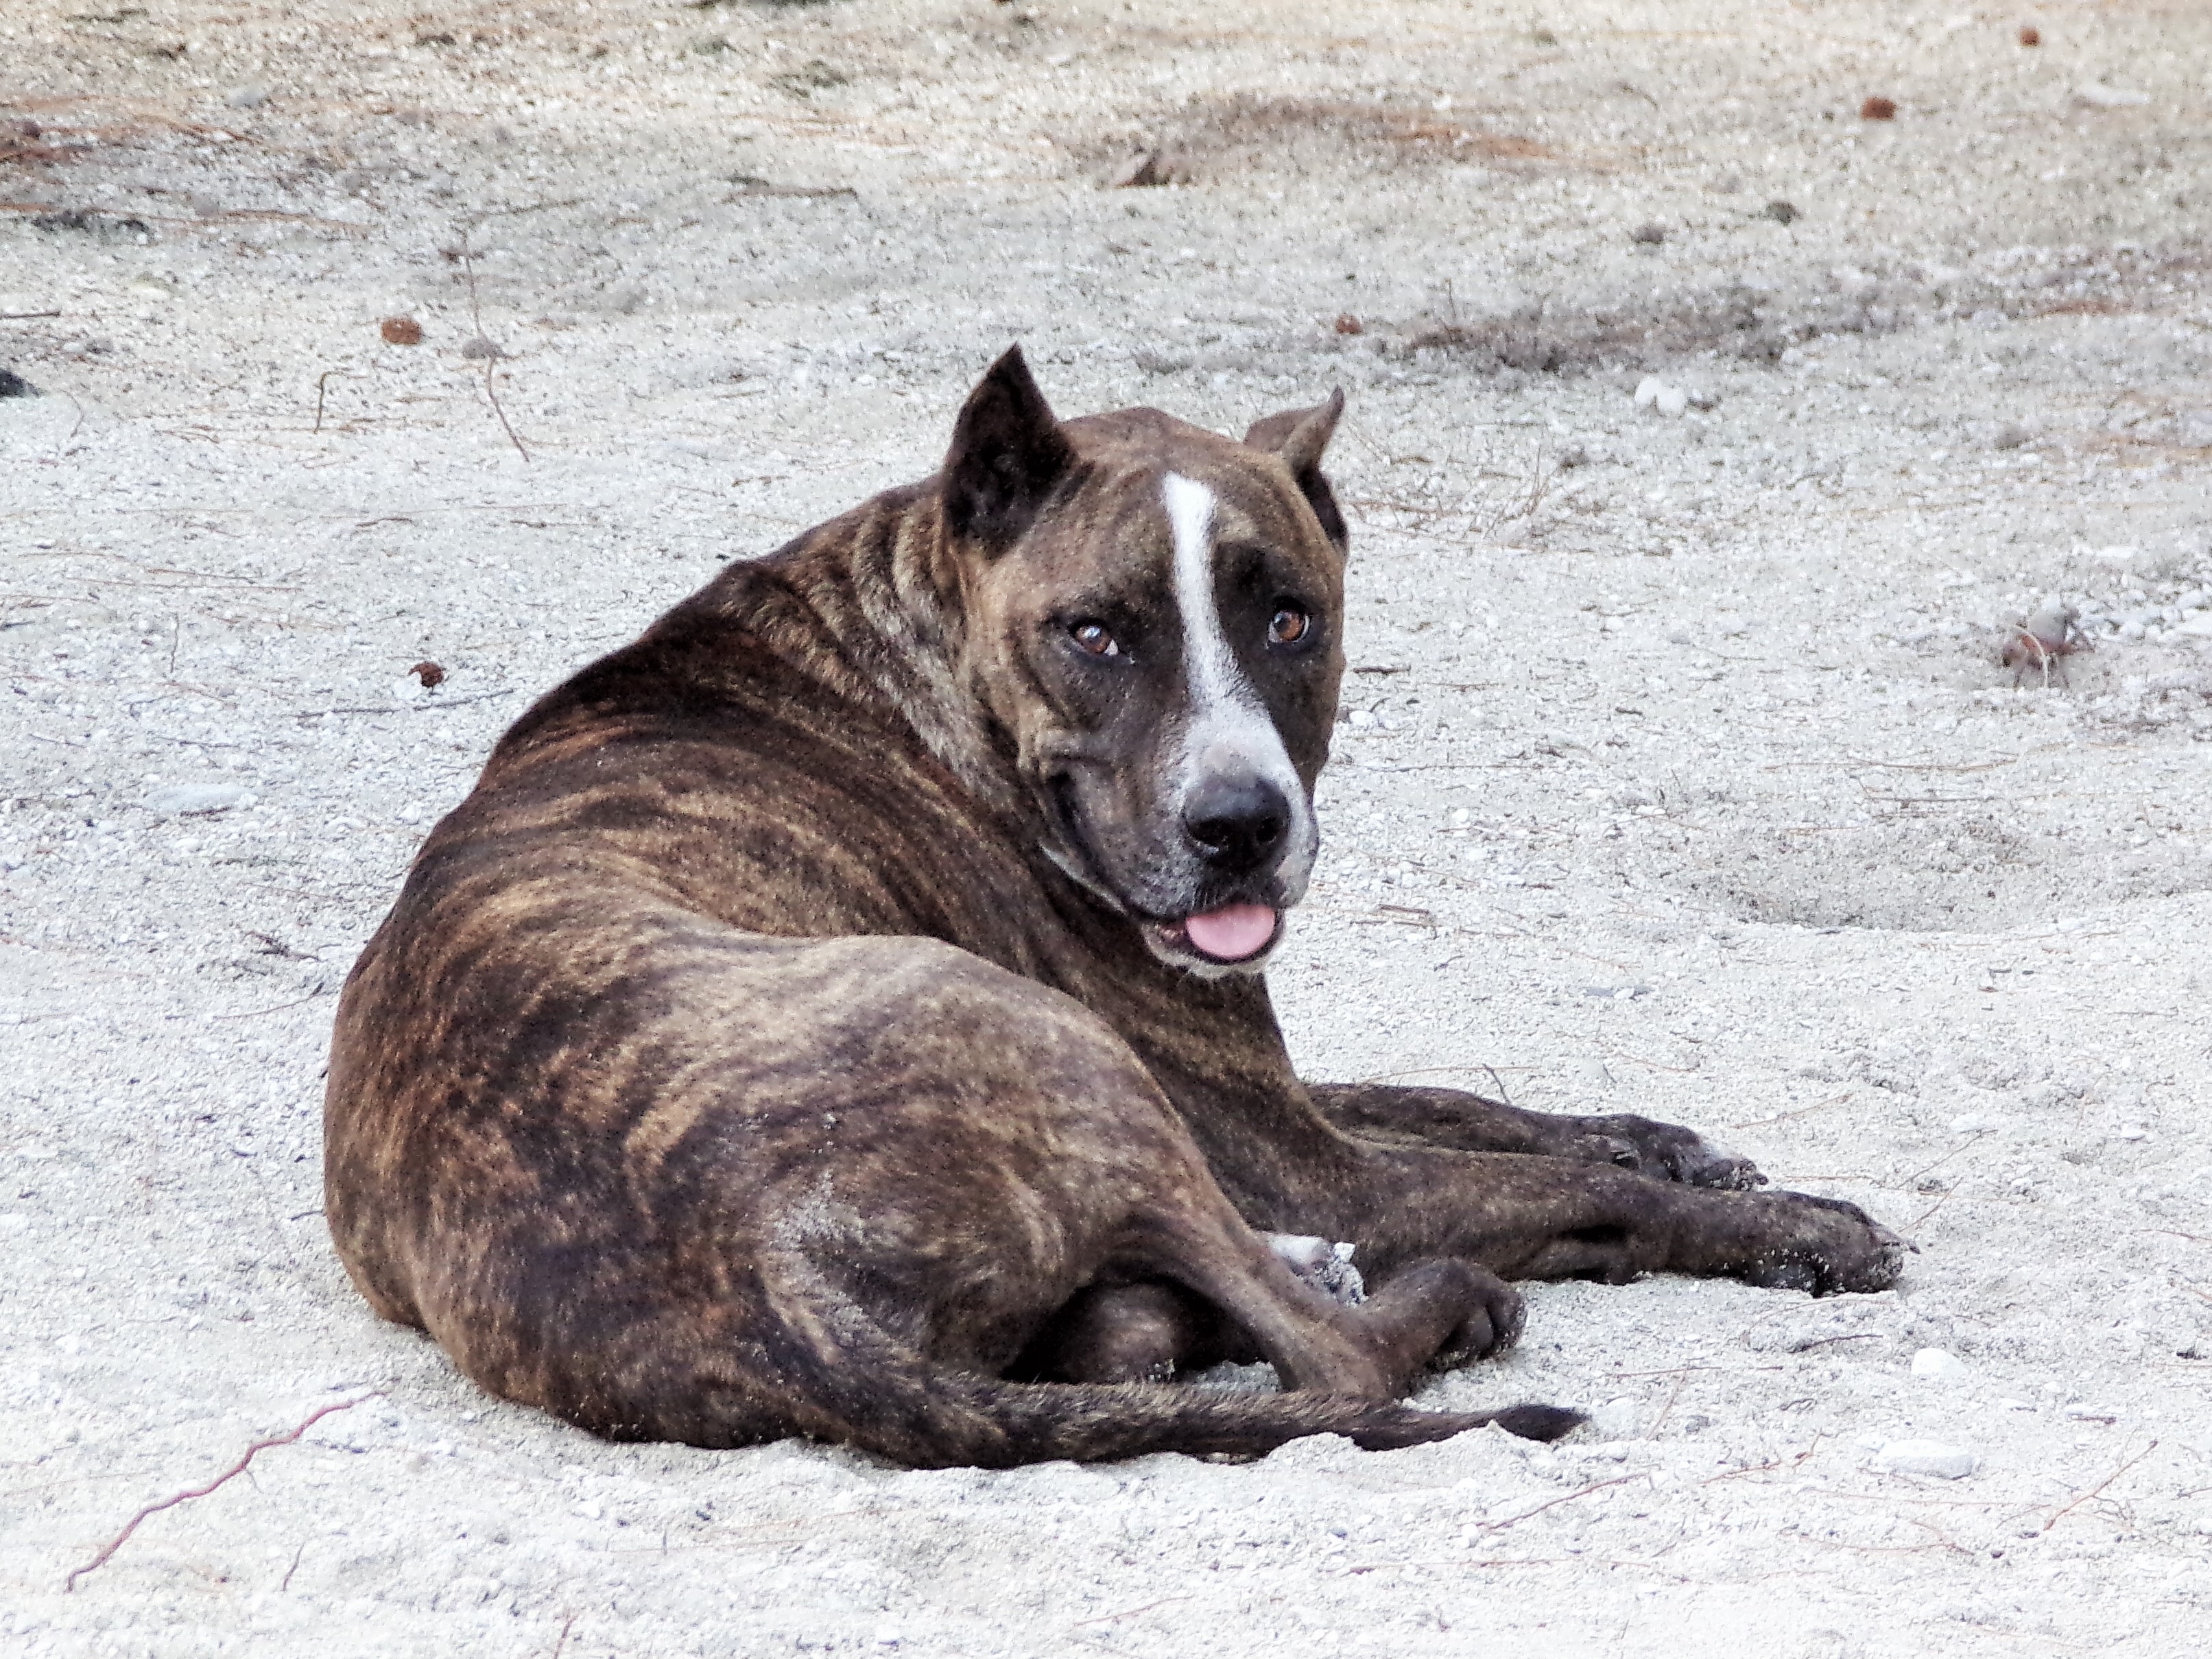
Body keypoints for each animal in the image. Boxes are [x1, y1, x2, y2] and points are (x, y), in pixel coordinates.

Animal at [322, 347, 1902, 1468]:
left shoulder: (1248, 1091)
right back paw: (1433, 1301)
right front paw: (1795, 1226)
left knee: (1150, 1332)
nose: (1239, 827)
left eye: (1290, 617)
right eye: (1093, 633)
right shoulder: (1292, 1151)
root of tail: (763, 1280)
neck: (926, 661)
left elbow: (1477, 1103)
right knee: (1330, 1357)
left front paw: (1673, 1144)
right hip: (1050, 1050)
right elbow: (1563, 1189)